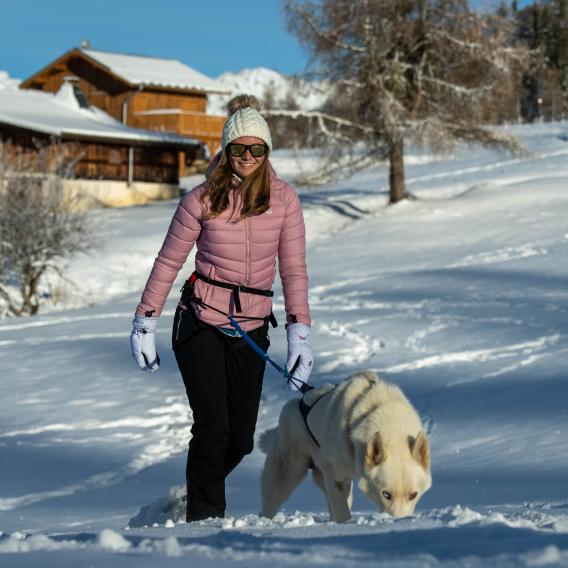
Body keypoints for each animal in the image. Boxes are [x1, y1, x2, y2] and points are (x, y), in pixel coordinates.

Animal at [260, 370, 432, 520]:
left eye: (413, 495)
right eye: (386, 494)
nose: (399, 521)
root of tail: (296, 403)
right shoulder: (335, 476)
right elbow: (343, 513)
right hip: (285, 479)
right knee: (269, 505)